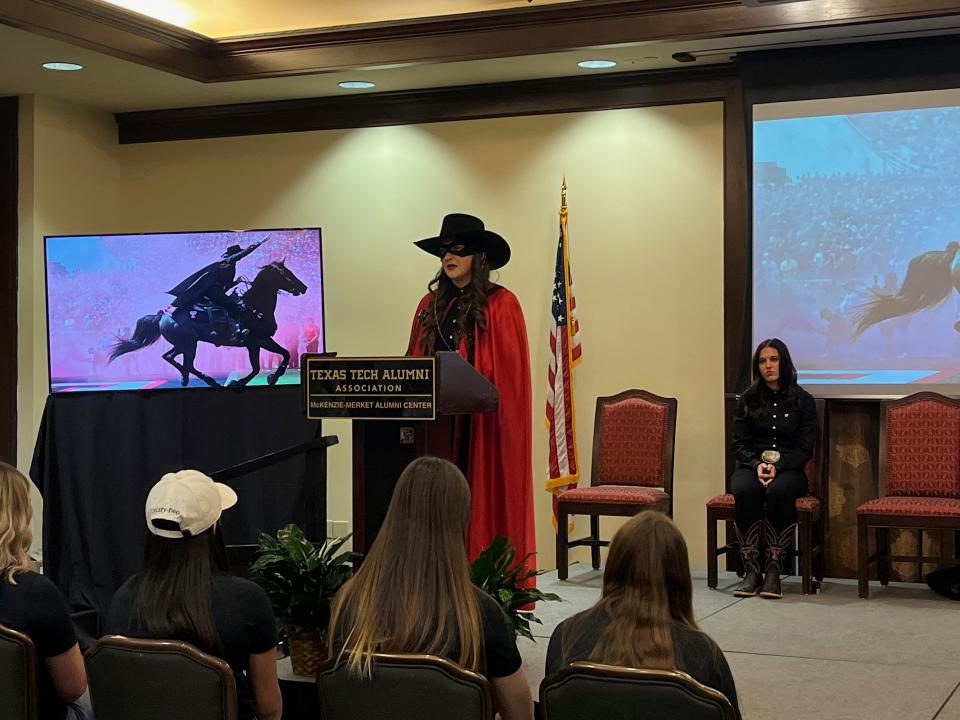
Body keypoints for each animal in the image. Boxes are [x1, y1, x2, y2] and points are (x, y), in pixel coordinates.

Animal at [112, 262, 308, 388]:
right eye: (284, 273)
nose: (304, 287)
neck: (254, 308)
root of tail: (162, 317)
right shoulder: (260, 341)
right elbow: (274, 359)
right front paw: (267, 378)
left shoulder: (257, 343)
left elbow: (268, 361)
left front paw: (264, 378)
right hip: (190, 345)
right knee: (186, 363)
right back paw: (208, 380)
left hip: (183, 344)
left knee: (170, 357)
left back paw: (185, 378)